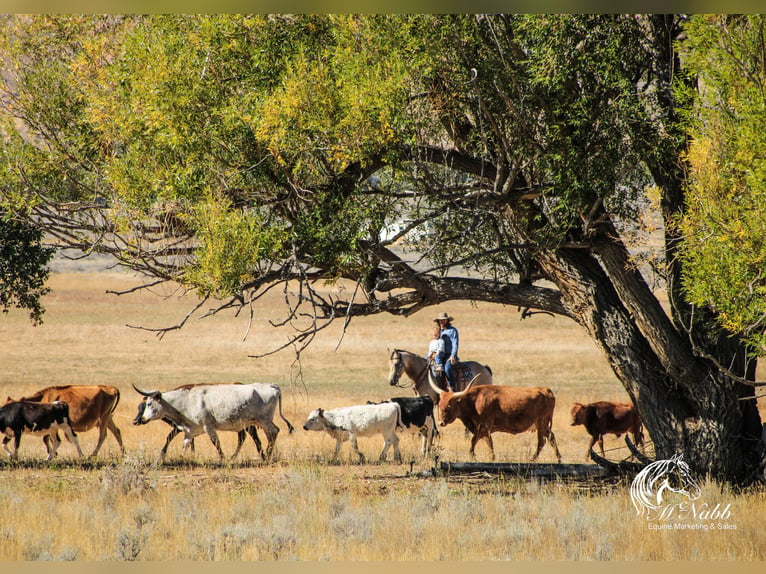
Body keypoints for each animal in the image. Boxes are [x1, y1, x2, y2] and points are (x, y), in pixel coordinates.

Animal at [132, 382, 294, 464]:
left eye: (149, 404)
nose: (142, 419)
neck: (186, 400)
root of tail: (272, 385)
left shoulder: (207, 426)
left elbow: (216, 443)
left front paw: (223, 460)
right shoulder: (191, 430)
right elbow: (185, 445)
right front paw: (181, 459)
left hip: (264, 421)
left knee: (273, 433)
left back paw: (268, 456)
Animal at [428, 374, 560, 464]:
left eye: (449, 405)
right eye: (440, 405)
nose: (440, 422)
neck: (474, 401)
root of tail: (546, 390)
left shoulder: (484, 426)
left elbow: (478, 441)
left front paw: (479, 456)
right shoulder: (482, 429)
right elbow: (484, 442)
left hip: (542, 422)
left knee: (541, 441)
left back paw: (532, 459)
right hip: (543, 425)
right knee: (551, 438)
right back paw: (558, 458)